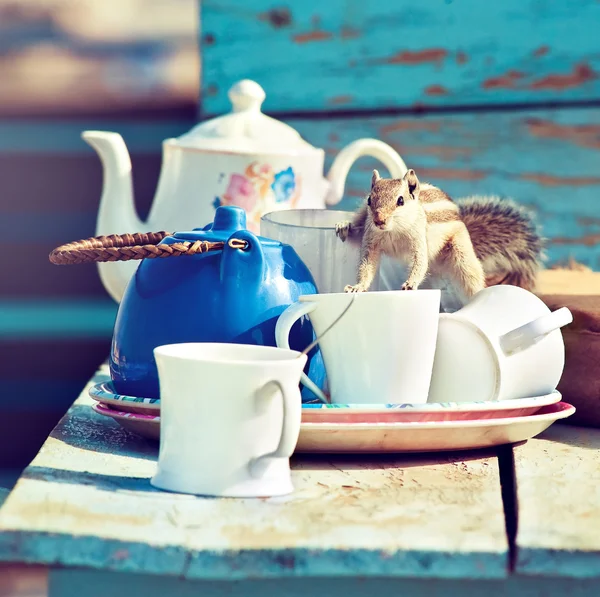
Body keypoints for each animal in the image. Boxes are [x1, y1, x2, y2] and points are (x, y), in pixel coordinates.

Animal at [336, 168, 548, 302]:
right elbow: (366, 267)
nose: (379, 220)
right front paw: (357, 287)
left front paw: (411, 283)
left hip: (460, 251)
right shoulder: (370, 240)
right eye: (369, 200)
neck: (392, 230)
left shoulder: (419, 239)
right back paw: (345, 226)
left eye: (401, 201)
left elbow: (419, 262)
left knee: (470, 275)